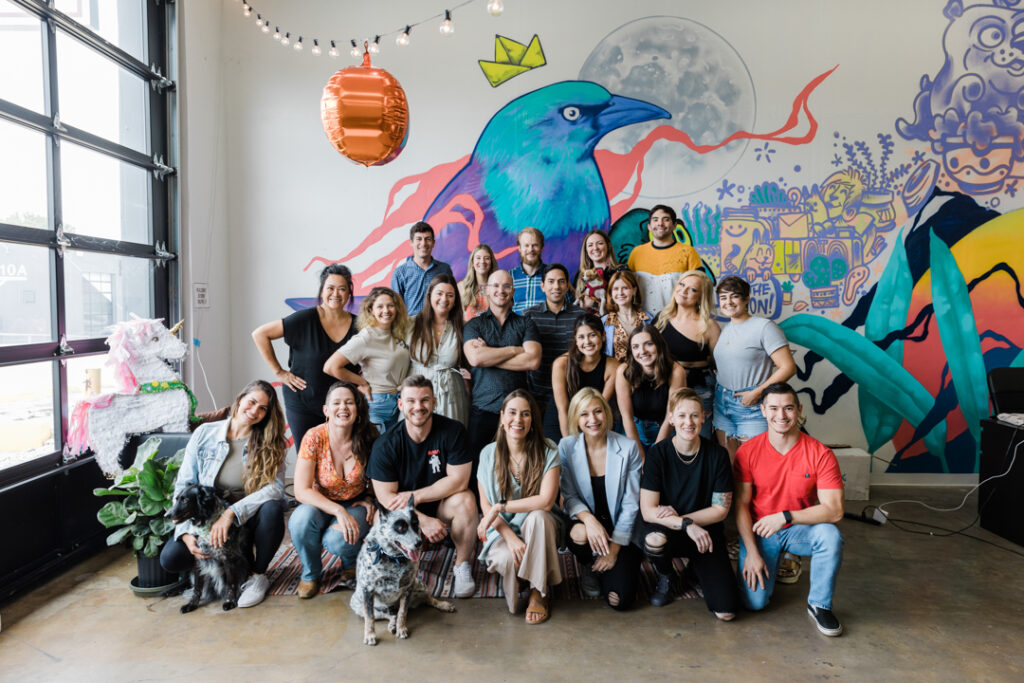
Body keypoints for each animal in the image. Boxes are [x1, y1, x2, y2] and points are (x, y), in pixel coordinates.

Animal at [352, 497, 456, 647]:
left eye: (416, 524)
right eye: (401, 528)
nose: (419, 543)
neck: (393, 559)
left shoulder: (408, 588)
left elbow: (403, 612)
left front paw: (401, 628)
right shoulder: (368, 590)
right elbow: (370, 618)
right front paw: (370, 635)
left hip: (420, 585)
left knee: (426, 599)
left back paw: (443, 605)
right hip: (359, 606)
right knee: (387, 615)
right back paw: (391, 624)